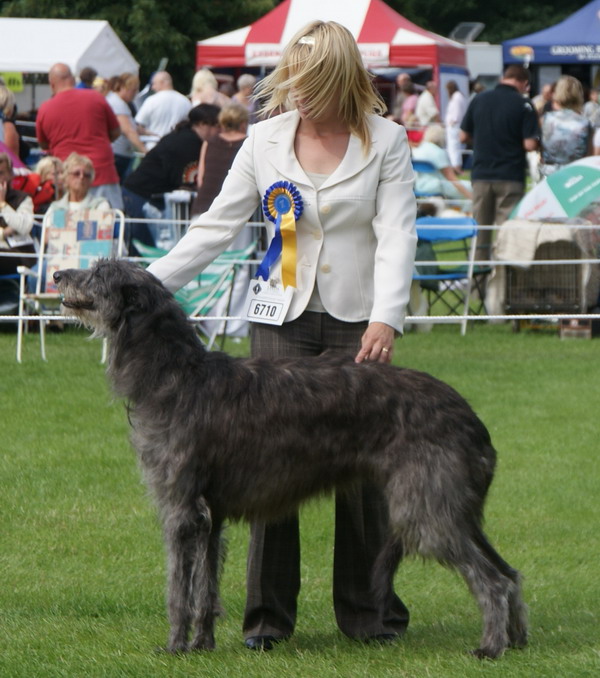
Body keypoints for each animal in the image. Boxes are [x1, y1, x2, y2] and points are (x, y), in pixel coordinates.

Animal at [54, 258, 528, 660]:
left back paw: (490, 647)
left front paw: (173, 647)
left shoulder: (180, 509)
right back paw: (517, 640)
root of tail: (472, 419)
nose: (58, 274)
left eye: (99, 272)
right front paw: (202, 644)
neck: (175, 375)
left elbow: (177, 589)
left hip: (425, 510)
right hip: (452, 505)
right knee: (508, 572)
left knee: (490, 580)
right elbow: (205, 587)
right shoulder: (211, 516)